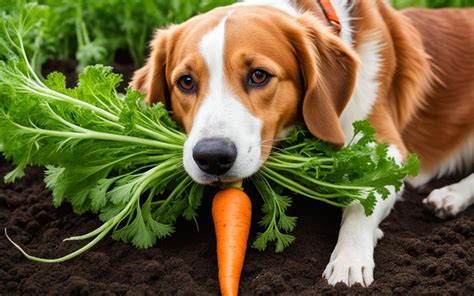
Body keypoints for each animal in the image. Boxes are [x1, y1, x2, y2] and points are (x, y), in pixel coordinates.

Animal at [131, 0, 474, 286]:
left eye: (259, 75)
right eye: (186, 82)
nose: (212, 157)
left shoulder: (386, 148)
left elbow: (361, 201)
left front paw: (349, 259)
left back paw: (450, 195)